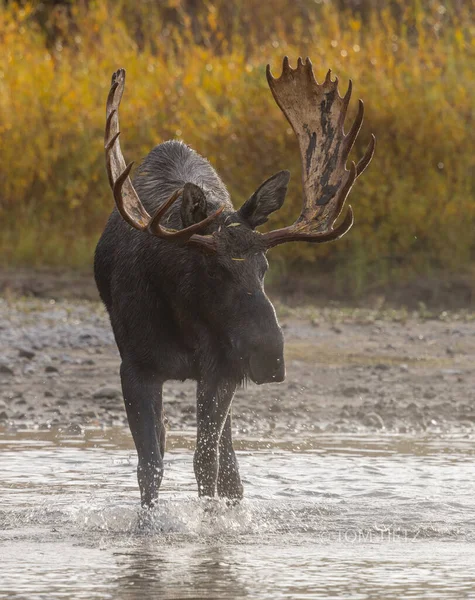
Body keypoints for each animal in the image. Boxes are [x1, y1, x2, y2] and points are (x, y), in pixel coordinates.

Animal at [94, 57, 376, 506]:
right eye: (212, 270)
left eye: (265, 267)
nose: (271, 355)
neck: (183, 322)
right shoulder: (135, 366)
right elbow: (150, 466)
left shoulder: (222, 368)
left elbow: (206, 463)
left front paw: (213, 519)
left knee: (227, 461)